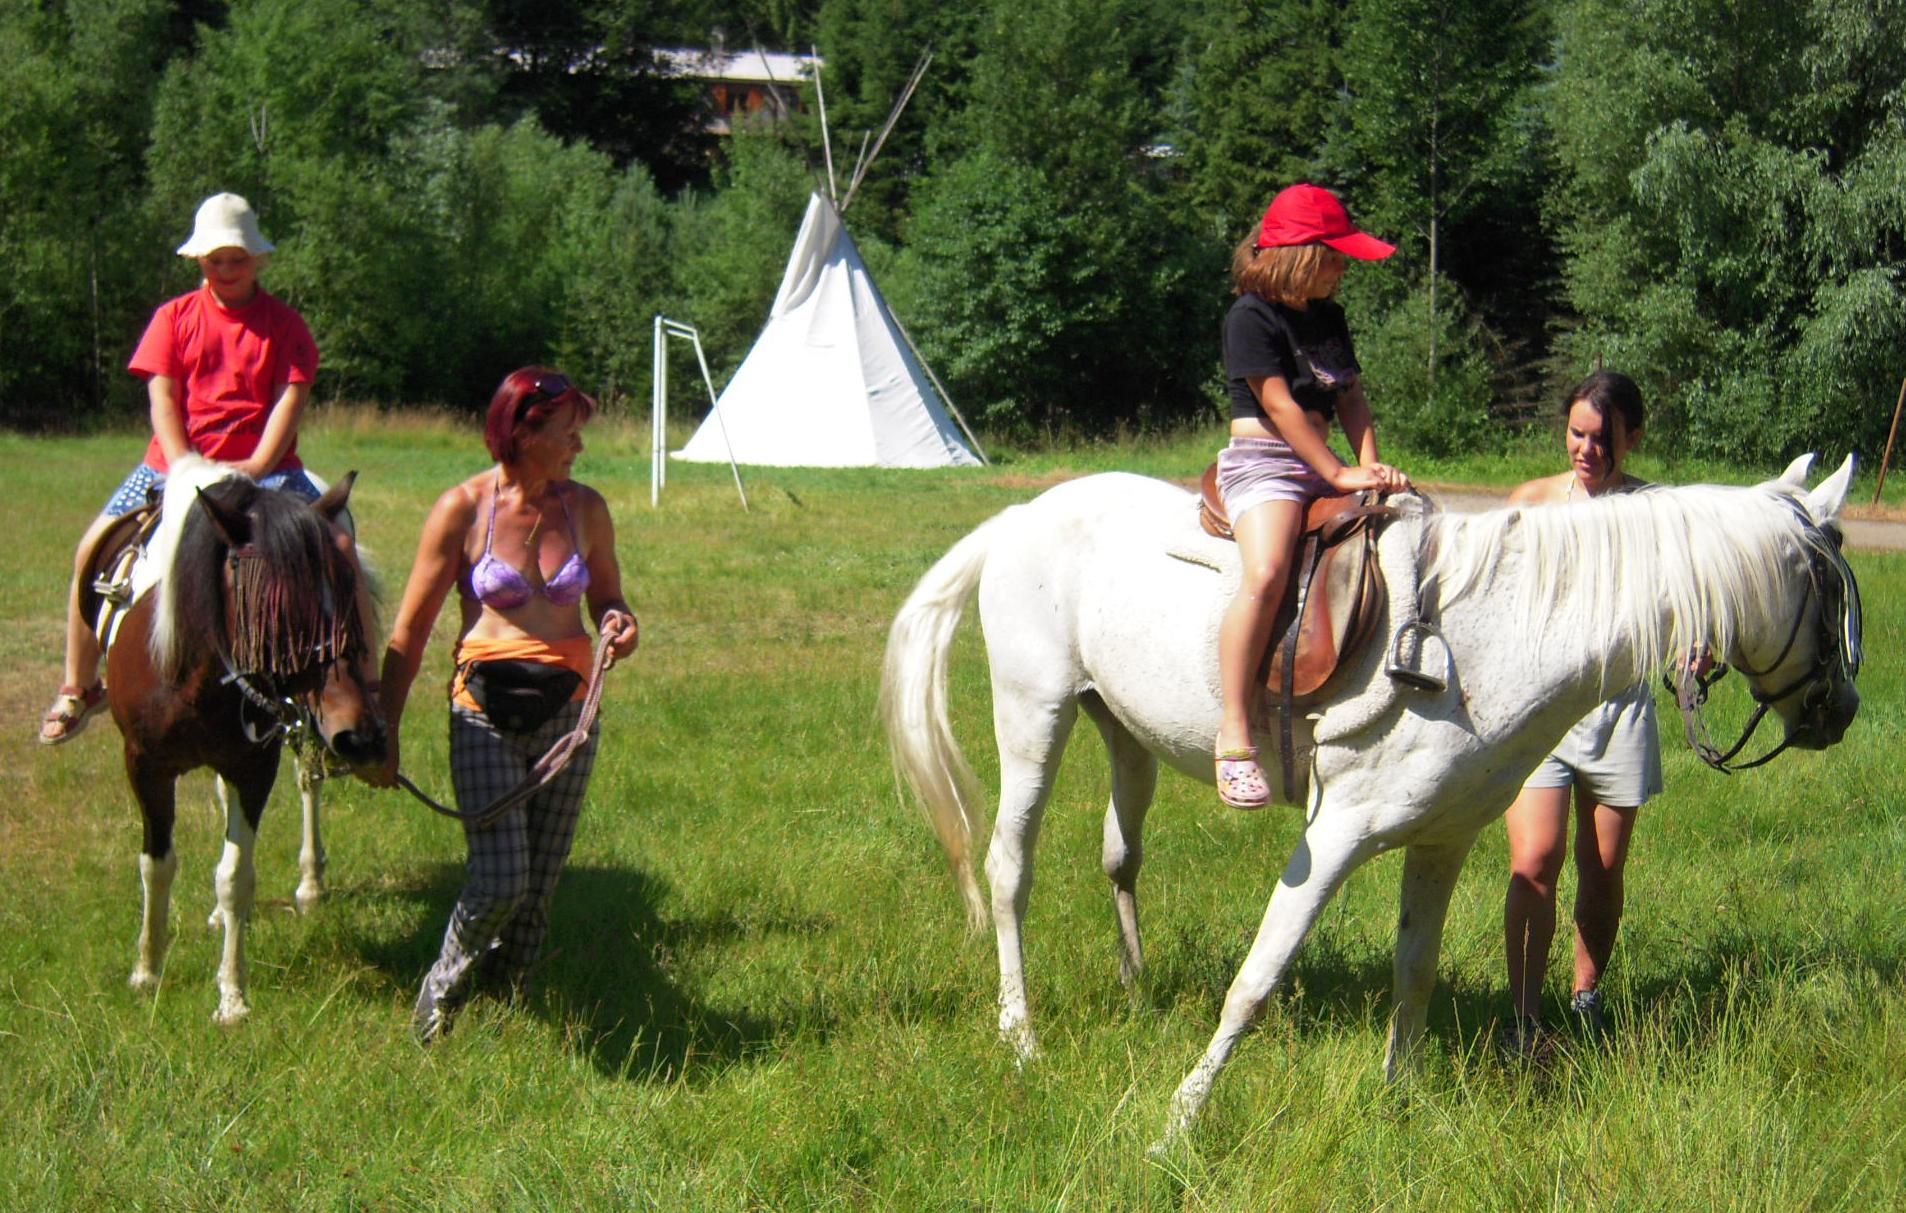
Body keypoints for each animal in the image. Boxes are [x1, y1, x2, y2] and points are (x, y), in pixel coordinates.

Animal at [107, 456, 386, 1023]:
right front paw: (147, 971)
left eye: (348, 592)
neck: (191, 676)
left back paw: (310, 885)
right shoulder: (144, 765)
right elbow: (156, 864)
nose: (360, 734)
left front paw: (232, 997)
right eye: (280, 608)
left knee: (308, 784)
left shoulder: (254, 767)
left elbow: (235, 875)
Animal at [880, 455, 1861, 1144]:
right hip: (1034, 711)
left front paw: (1398, 1100)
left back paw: (1134, 992)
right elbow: (1256, 978)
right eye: (1828, 584)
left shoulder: (1443, 840)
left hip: (1123, 729)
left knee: (1119, 858)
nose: (1841, 711)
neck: (1497, 636)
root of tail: (1020, 516)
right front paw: (1178, 1121)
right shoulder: (1335, 835)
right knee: (1010, 866)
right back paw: (1020, 1034)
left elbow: (1413, 972)